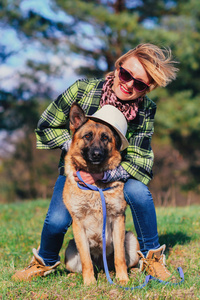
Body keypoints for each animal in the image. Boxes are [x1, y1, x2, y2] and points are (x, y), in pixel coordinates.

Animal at [63, 103, 139, 286]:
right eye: (87, 136)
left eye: (105, 138)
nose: (96, 154)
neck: (94, 185)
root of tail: (102, 267)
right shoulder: (78, 224)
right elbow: (86, 260)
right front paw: (90, 282)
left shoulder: (118, 219)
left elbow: (120, 257)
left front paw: (123, 279)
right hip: (70, 250)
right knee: (81, 265)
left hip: (132, 240)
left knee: (130, 261)